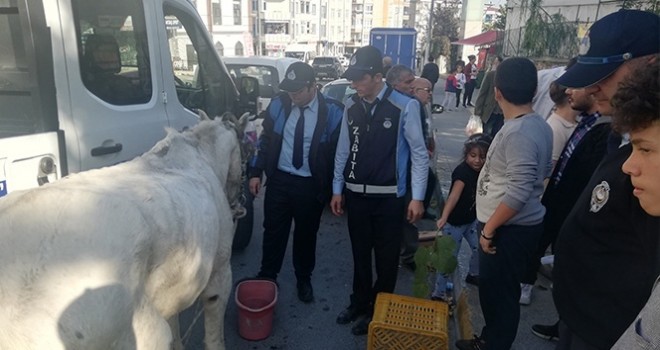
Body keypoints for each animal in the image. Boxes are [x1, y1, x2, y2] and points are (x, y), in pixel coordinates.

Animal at [0, 113, 248, 348]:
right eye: (243, 153)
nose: (238, 205)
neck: (200, 153)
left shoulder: (175, 286)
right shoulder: (220, 274)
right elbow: (214, 335)